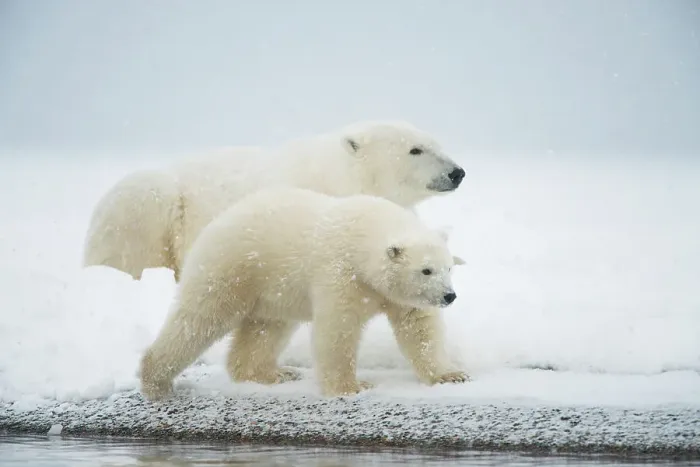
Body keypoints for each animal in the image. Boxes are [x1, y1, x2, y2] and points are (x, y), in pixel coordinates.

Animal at [83, 120, 466, 282]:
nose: (457, 172)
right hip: (151, 200)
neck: (336, 179)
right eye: (415, 149)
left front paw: (456, 258)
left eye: (437, 143)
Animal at [138, 187, 469, 400]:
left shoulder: (398, 295)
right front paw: (351, 387)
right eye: (426, 270)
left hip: (272, 289)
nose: (449, 296)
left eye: (449, 267)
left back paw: (273, 373)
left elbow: (419, 329)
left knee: (267, 328)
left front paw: (451, 375)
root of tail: (216, 222)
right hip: (232, 267)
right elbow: (338, 329)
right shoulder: (340, 273)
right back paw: (157, 381)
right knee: (200, 319)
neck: (362, 234)